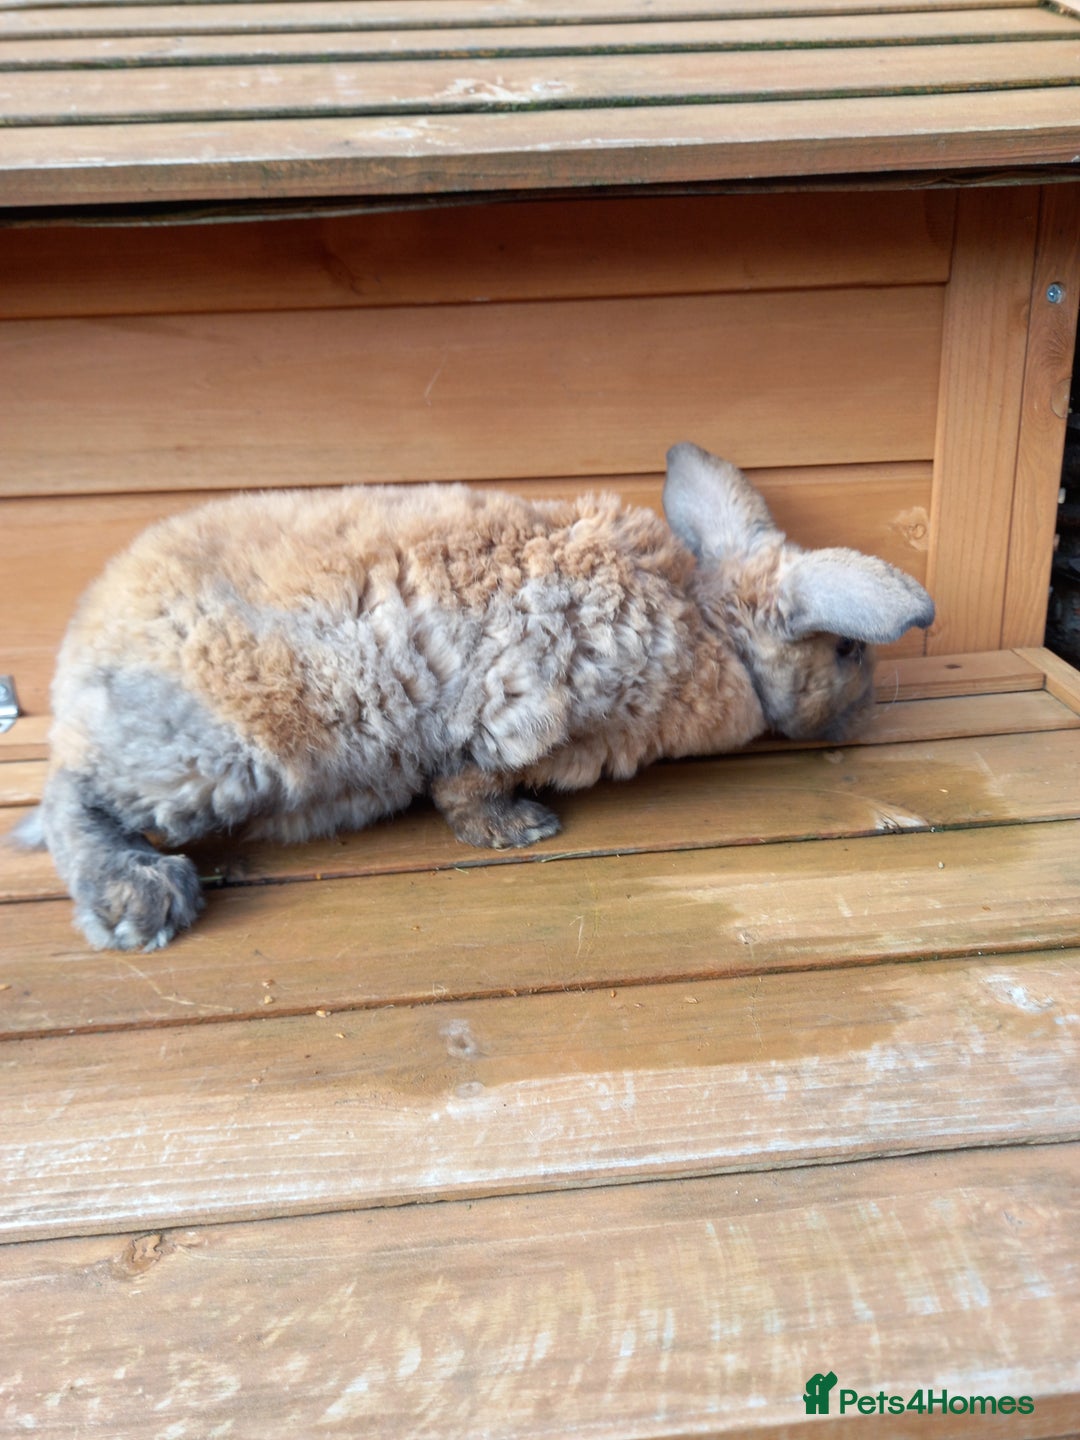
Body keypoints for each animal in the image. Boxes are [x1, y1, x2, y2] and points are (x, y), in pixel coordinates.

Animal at [17, 442, 934, 952]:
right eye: (848, 649)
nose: (863, 713)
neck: (707, 618)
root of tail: (79, 659)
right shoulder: (519, 707)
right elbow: (468, 780)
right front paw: (519, 830)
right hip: (220, 756)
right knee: (72, 798)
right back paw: (138, 899)